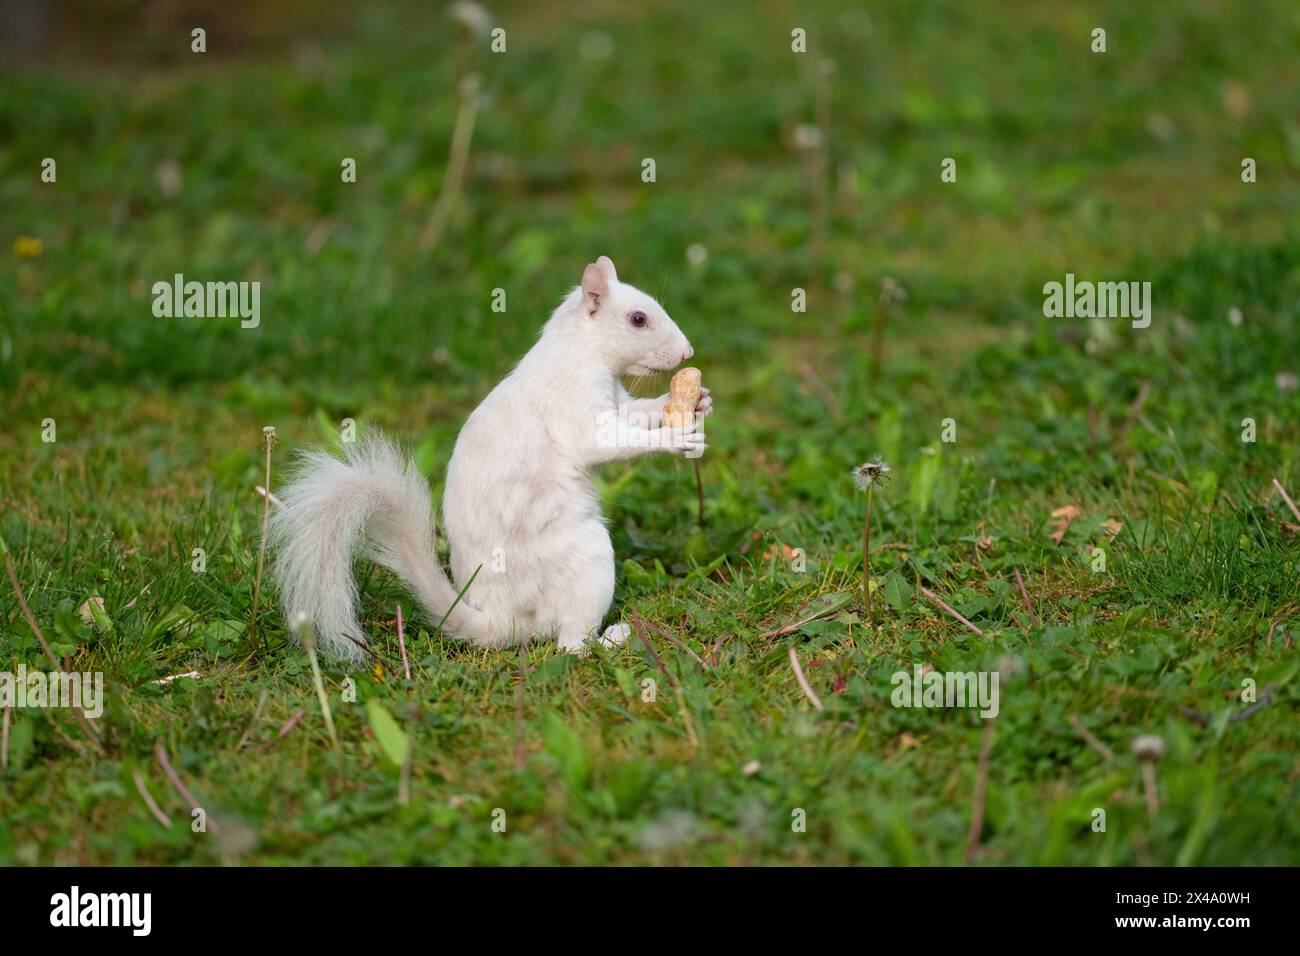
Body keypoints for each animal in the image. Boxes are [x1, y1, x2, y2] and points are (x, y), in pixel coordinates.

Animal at [265, 257, 712, 671]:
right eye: (638, 319)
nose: (688, 352)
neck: (580, 348)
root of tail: (502, 621)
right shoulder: (571, 398)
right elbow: (599, 442)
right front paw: (674, 438)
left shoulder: (616, 399)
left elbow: (635, 412)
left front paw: (693, 401)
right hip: (588, 564)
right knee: (570, 645)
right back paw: (612, 639)